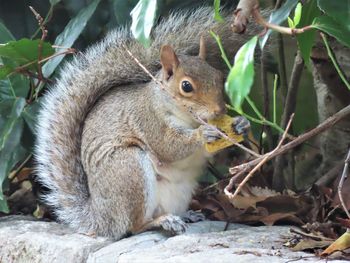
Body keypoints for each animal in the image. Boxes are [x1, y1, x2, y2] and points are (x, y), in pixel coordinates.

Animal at [34, 6, 254, 239]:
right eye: (186, 86)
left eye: (219, 76)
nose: (220, 110)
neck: (186, 118)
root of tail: (101, 218)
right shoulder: (149, 120)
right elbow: (169, 146)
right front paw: (203, 133)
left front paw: (241, 124)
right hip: (129, 169)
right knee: (135, 225)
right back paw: (163, 222)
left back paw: (186, 216)